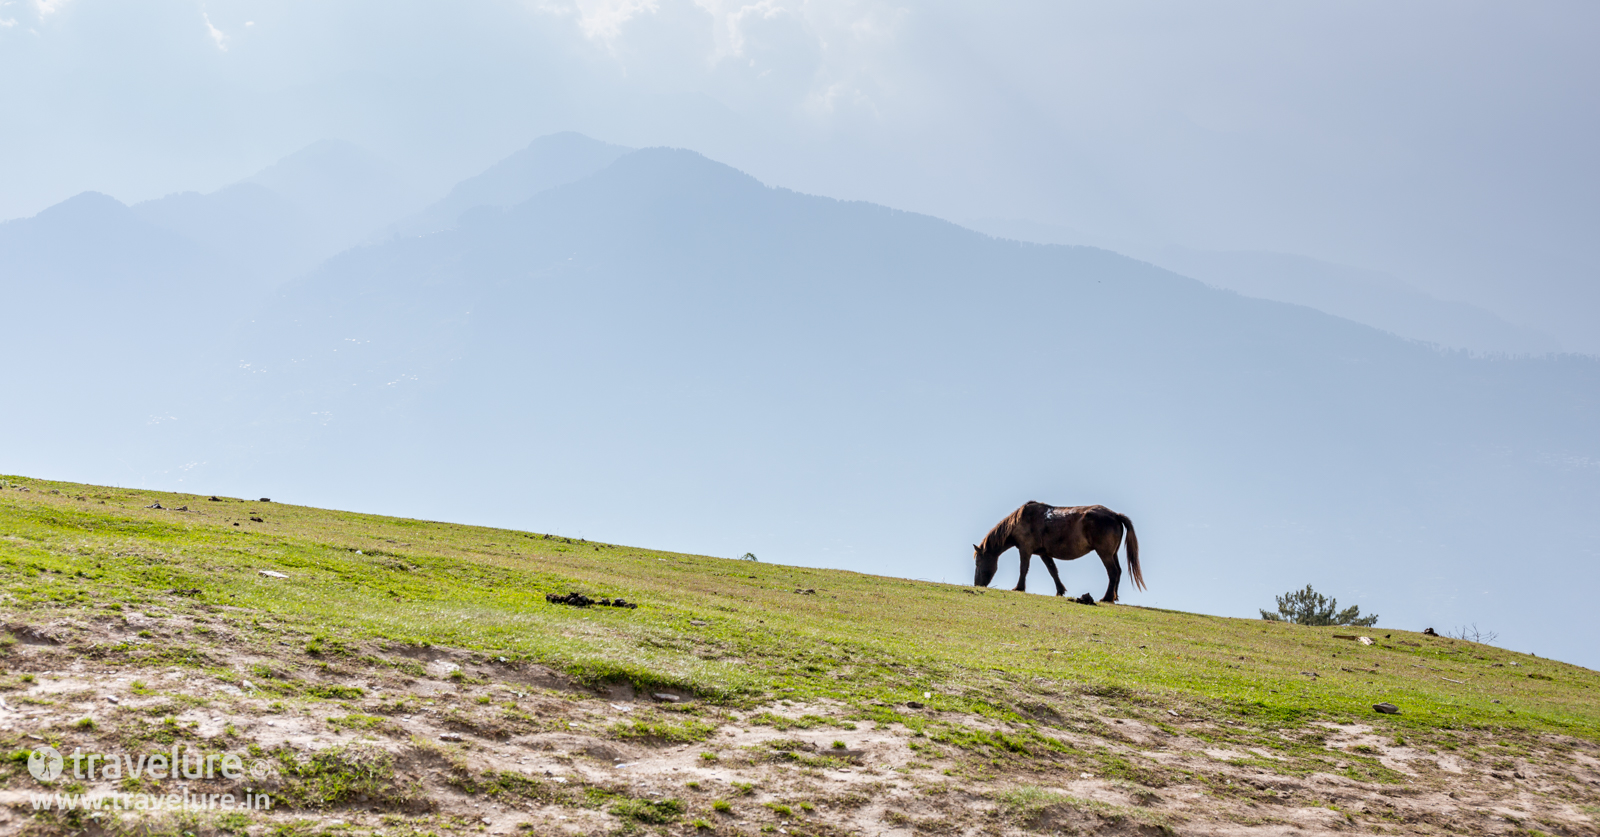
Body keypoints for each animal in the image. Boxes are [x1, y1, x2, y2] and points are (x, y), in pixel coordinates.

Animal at [966, 505, 1145, 601]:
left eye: (978, 563)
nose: (977, 584)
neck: (1019, 522)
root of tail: (1115, 515)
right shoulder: (1044, 553)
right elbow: (1053, 571)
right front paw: (1060, 591)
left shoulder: (1025, 549)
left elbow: (1023, 569)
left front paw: (1019, 587)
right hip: (1112, 554)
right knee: (1119, 571)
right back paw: (1114, 597)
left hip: (1105, 553)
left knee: (1113, 572)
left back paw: (1107, 597)